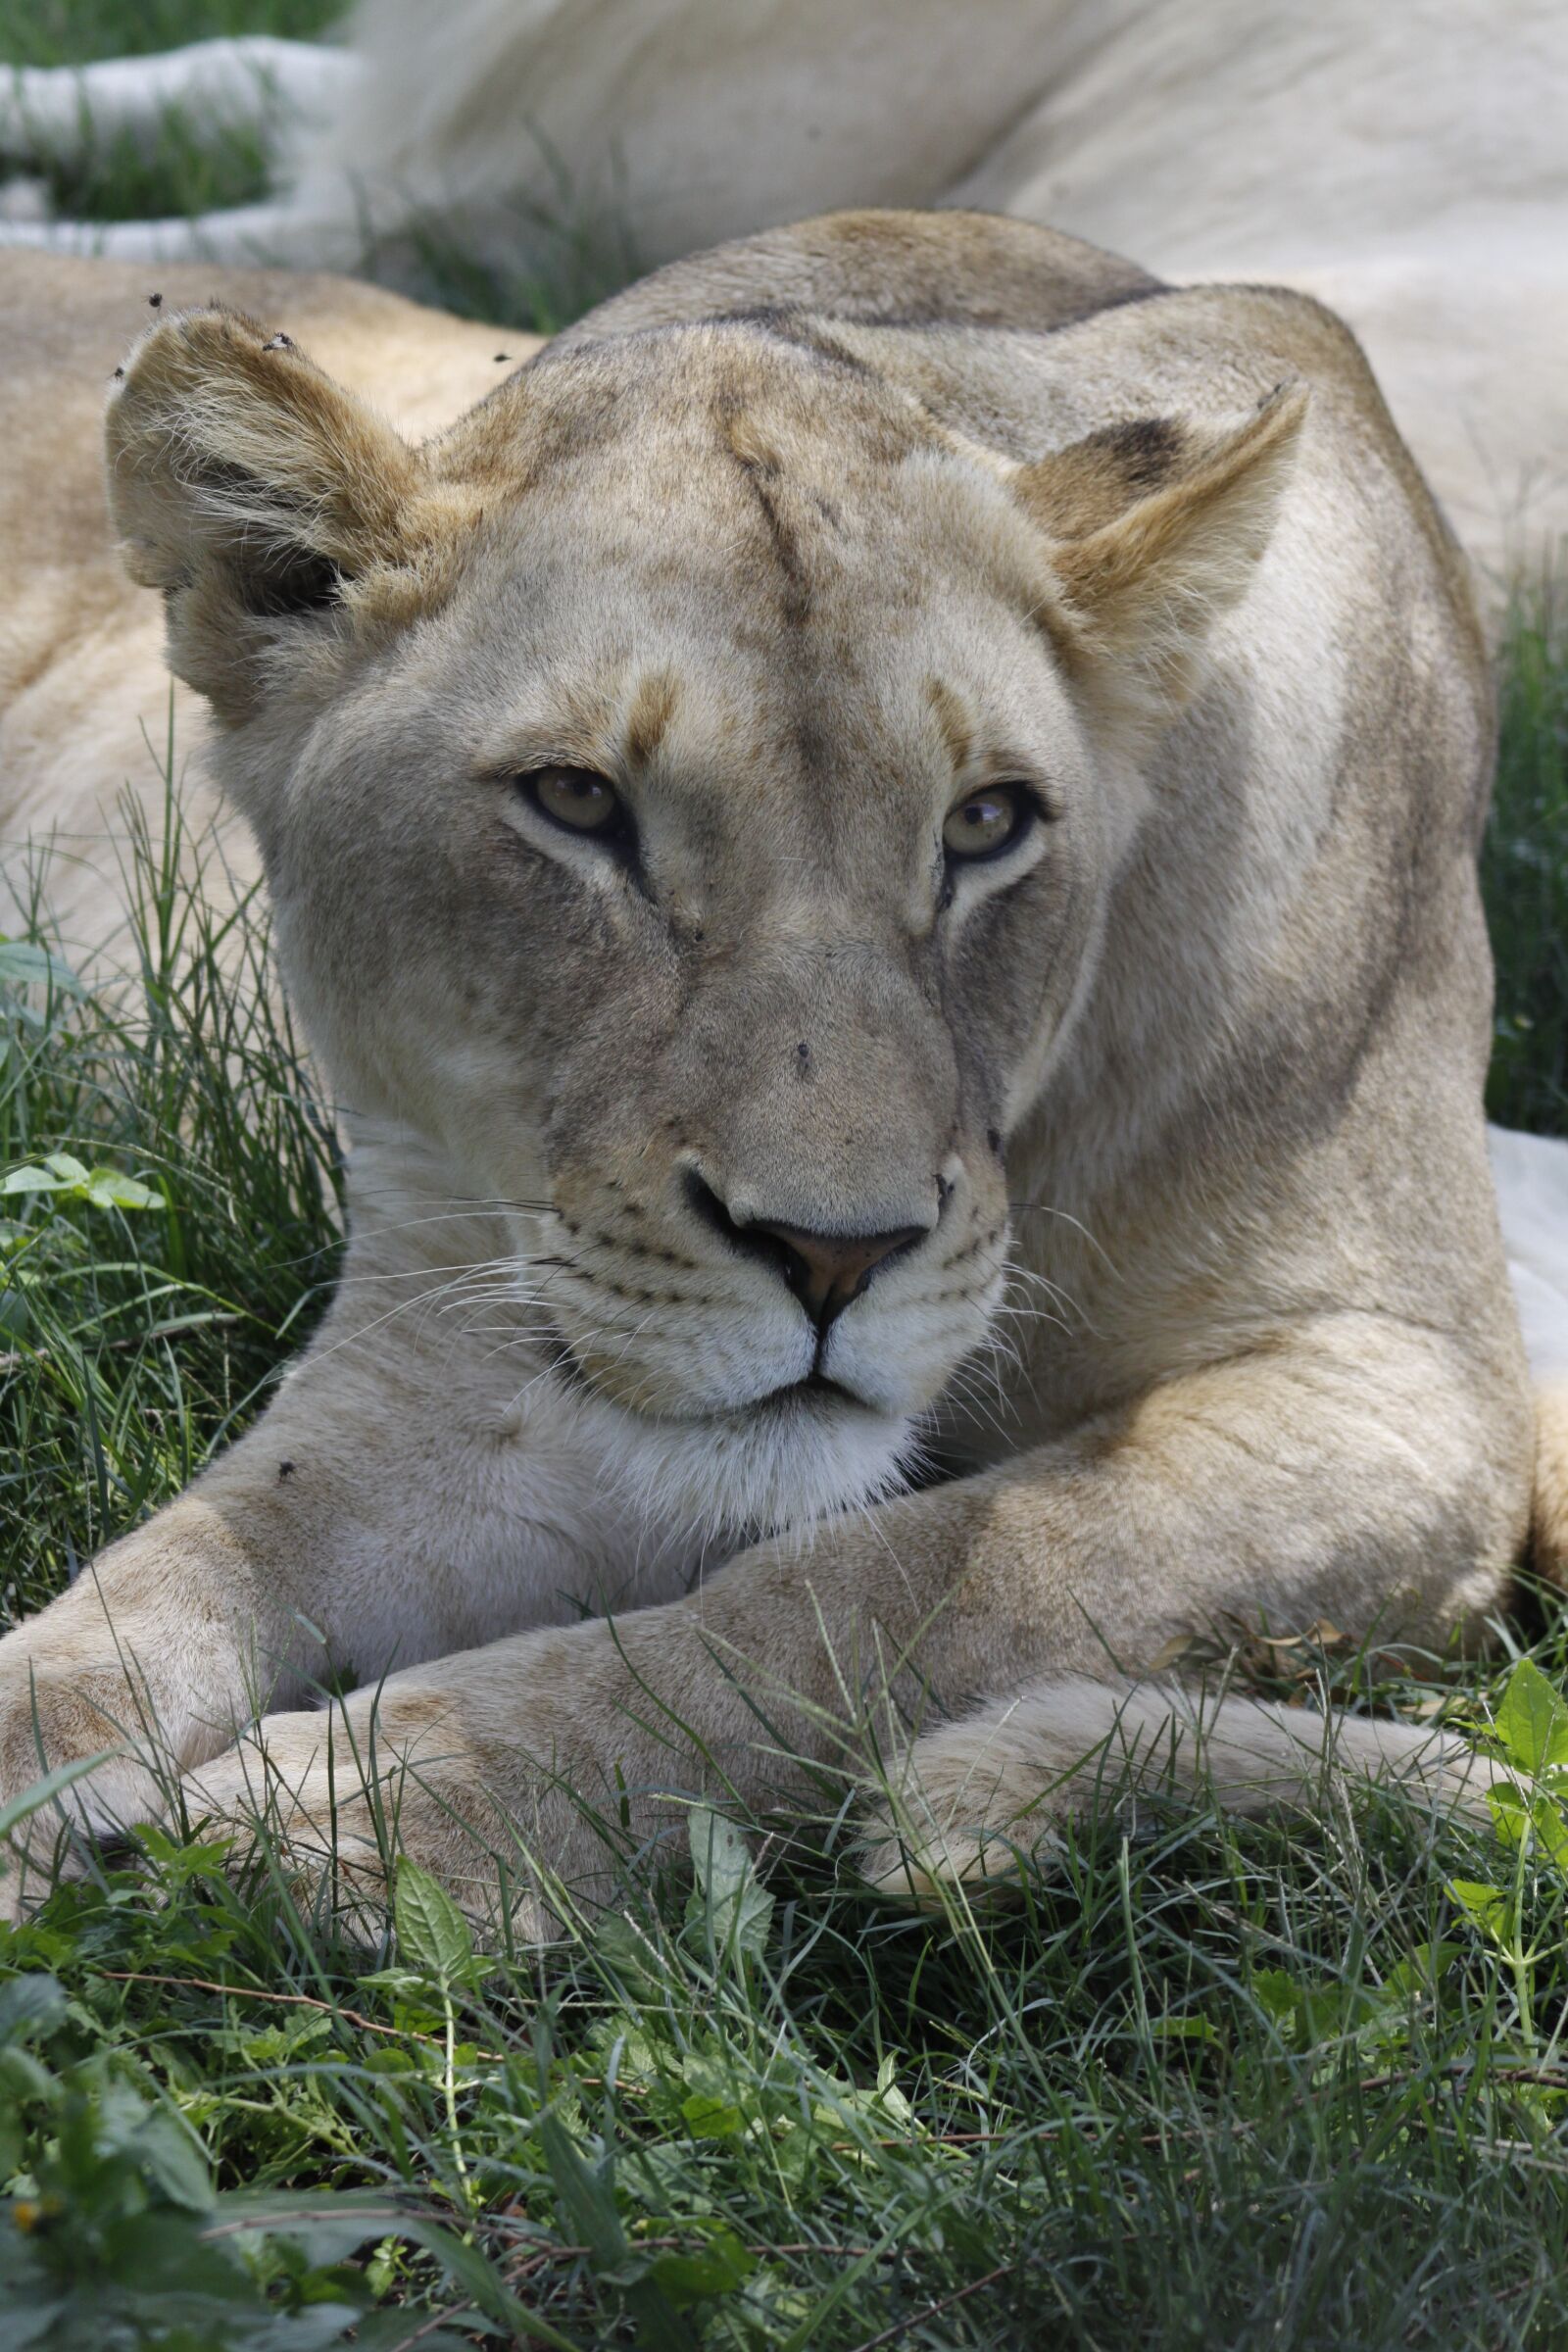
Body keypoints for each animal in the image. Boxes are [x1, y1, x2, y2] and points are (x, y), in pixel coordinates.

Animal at [1, 210, 1563, 1925]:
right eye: (575, 800)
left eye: (985, 822)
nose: (834, 1255)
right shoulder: (455, 1344)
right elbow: (183, 1575)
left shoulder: (1401, 1395)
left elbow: (897, 1590)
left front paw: (370, 1814)